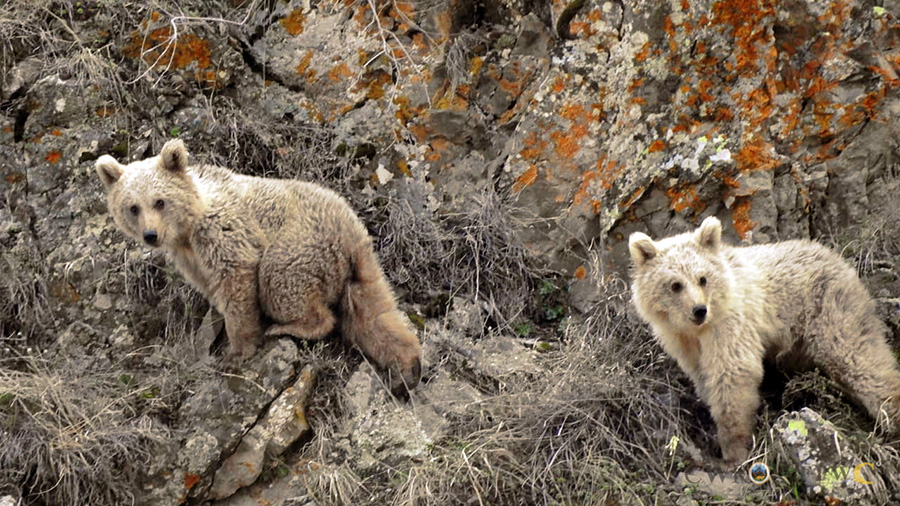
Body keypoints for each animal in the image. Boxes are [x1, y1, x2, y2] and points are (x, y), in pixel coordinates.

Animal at [95, 139, 422, 392]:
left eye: (160, 201)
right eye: (132, 207)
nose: (151, 235)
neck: (189, 227)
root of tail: (351, 233)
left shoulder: (225, 233)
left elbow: (236, 282)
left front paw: (235, 351)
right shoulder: (189, 258)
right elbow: (211, 288)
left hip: (297, 245)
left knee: (281, 282)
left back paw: (289, 327)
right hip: (359, 269)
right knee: (374, 314)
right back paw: (408, 363)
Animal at [628, 216, 900, 464]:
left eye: (702, 278)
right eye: (675, 284)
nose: (699, 310)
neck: (697, 331)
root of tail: (834, 255)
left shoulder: (731, 325)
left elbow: (733, 373)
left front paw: (733, 448)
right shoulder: (682, 344)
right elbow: (703, 376)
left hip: (830, 310)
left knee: (858, 360)